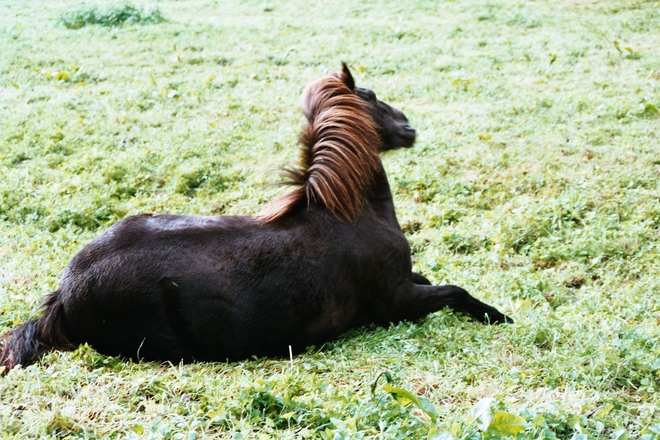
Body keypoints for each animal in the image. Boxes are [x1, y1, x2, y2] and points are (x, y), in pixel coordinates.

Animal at [0, 63, 510, 372]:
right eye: (370, 94)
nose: (409, 127)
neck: (351, 213)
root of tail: (63, 295)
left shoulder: (407, 284)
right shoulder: (396, 303)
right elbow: (454, 290)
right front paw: (499, 316)